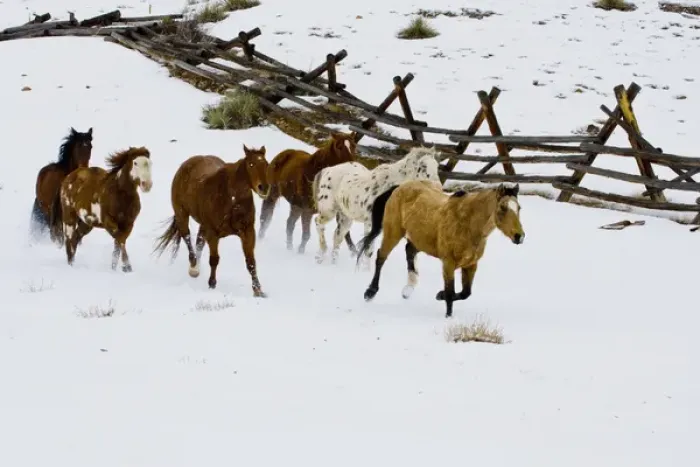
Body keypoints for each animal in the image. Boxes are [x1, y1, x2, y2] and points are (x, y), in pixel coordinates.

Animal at [153, 145, 270, 296]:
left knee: (199, 241)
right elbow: (214, 260)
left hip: (203, 225)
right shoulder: (213, 233)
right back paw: (194, 268)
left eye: (266, 164)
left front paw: (258, 290)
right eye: (251, 164)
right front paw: (212, 284)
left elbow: (251, 262)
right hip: (182, 214)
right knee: (187, 237)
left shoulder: (248, 231)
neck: (231, 200)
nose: (264, 188)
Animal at [312, 146, 442, 266]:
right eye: (423, 166)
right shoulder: (370, 224)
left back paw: (332, 262)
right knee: (318, 223)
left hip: (345, 218)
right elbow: (368, 250)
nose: (438, 187)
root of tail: (327, 170)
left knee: (337, 237)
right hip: (329, 211)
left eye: (436, 166)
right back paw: (321, 254)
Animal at [356, 181, 525, 318]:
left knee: (409, 251)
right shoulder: (448, 263)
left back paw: (408, 289)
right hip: (393, 233)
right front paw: (447, 315)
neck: (467, 224)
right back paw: (370, 292)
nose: (519, 236)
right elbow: (451, 293)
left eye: (519, 208)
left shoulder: (471, 265)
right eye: (503, 207)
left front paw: (439, 295)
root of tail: (400, 187)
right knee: (381, 257)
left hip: (419, 239)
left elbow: (465, 293)